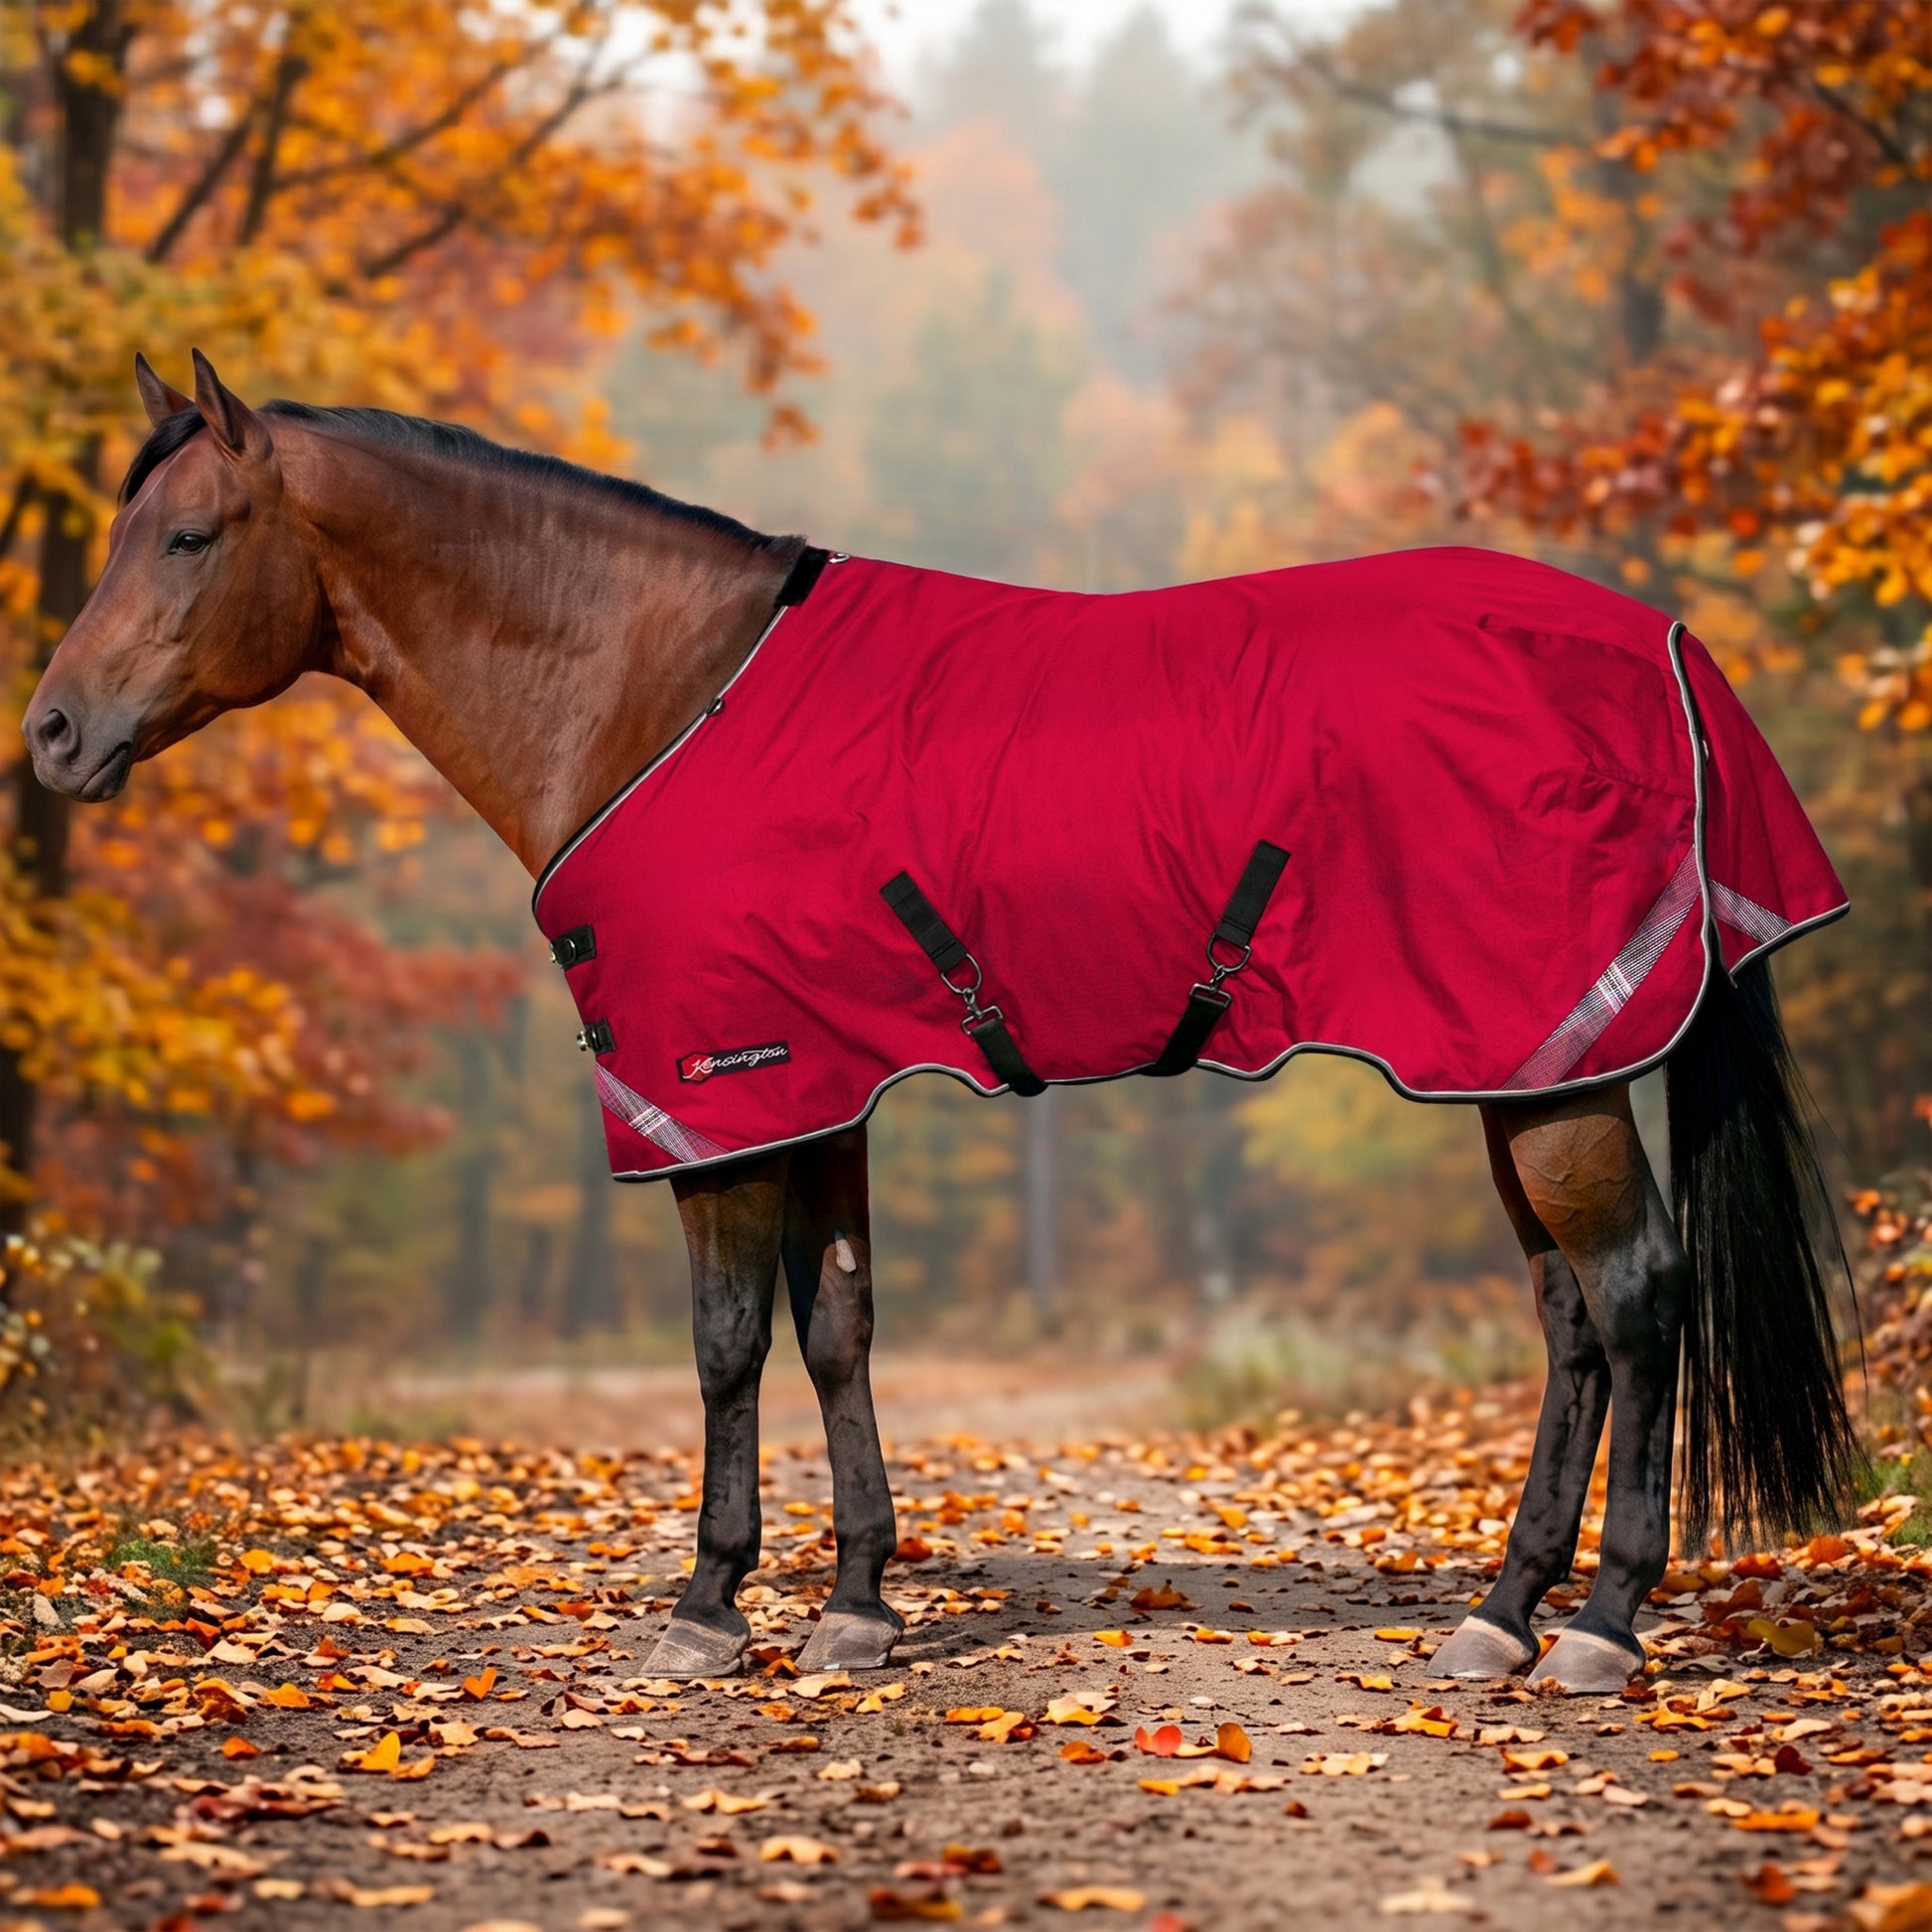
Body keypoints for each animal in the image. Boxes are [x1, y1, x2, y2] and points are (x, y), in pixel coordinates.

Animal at [20, 353, 1859, 1695]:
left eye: (187, 536)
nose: (48, 734)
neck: (658, 691)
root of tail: (1664, 646)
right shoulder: (816, 1085)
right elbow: (835, 1328)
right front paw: (851, 1601)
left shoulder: (714, 1091)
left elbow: (723, 1344)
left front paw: (708, 1604)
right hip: (1517, 1061)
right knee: (1570, 1321)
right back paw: (1501, 1611)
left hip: (1550, 1068)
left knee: (1637, 1298)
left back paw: (1600, 1627)